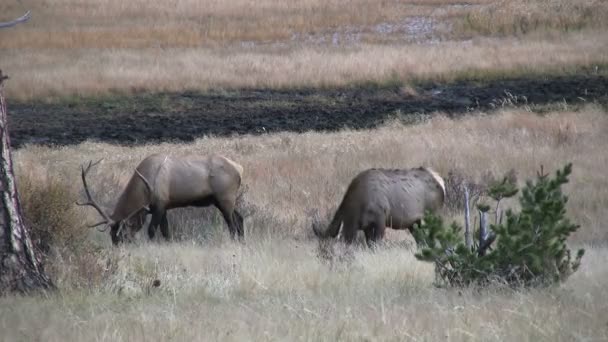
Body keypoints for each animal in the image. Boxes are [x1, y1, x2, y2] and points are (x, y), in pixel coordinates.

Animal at [78, 154, 245, 244]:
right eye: (111, 236)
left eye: (123, 235)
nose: (117, 248)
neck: (143, 190)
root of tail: (240, 169)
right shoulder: (163, 207)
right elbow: (166, 232)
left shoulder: (159, 204)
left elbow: (152, 230)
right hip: (223, 201)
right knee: (240, 218)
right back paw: (242, 242)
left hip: (225, 198)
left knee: (232, 224)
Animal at [312, 166, 444, 248]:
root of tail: (441, 182)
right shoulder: (366, 226)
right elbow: (370, 244)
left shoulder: (380, 219)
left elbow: (377, 243)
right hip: (414, 223)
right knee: (421, 239)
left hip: (434, 214)